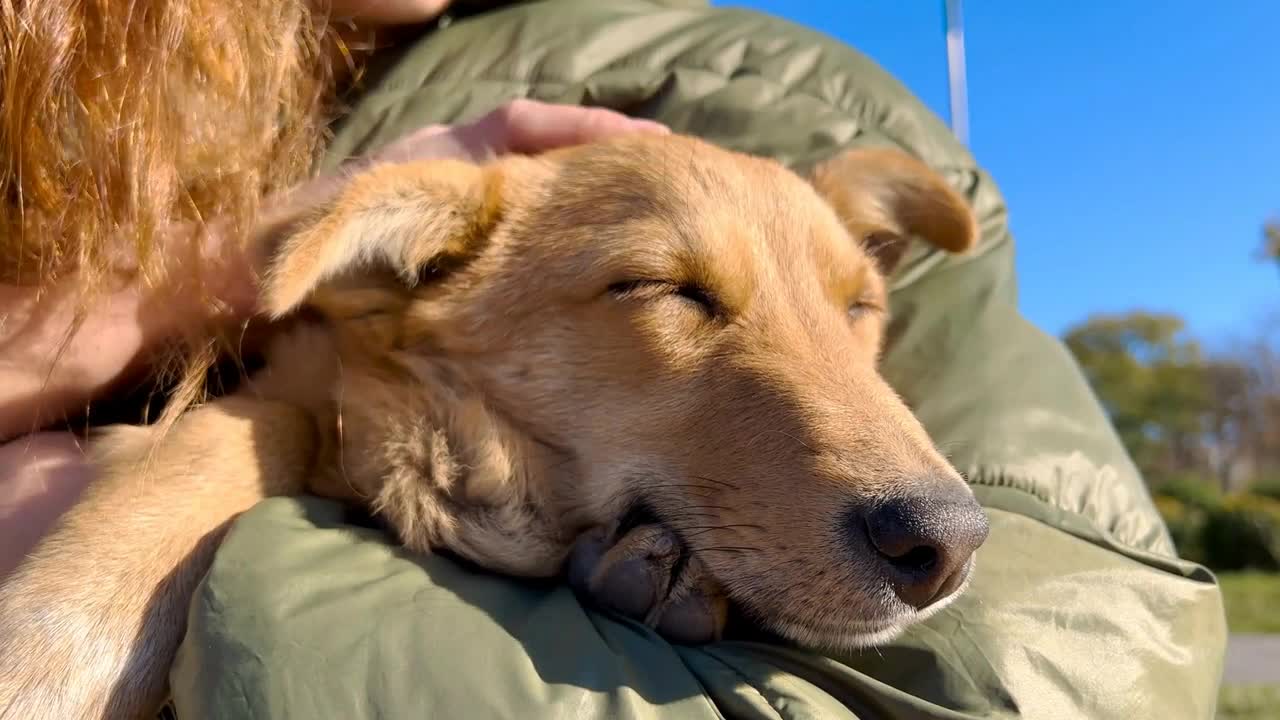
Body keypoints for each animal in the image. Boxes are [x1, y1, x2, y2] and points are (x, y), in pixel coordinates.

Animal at [0, 131, 988, 712]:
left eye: (861, 307)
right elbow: (240, 434)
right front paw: (53, 649)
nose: (948, 544)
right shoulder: (295, 389)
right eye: (660, 289)